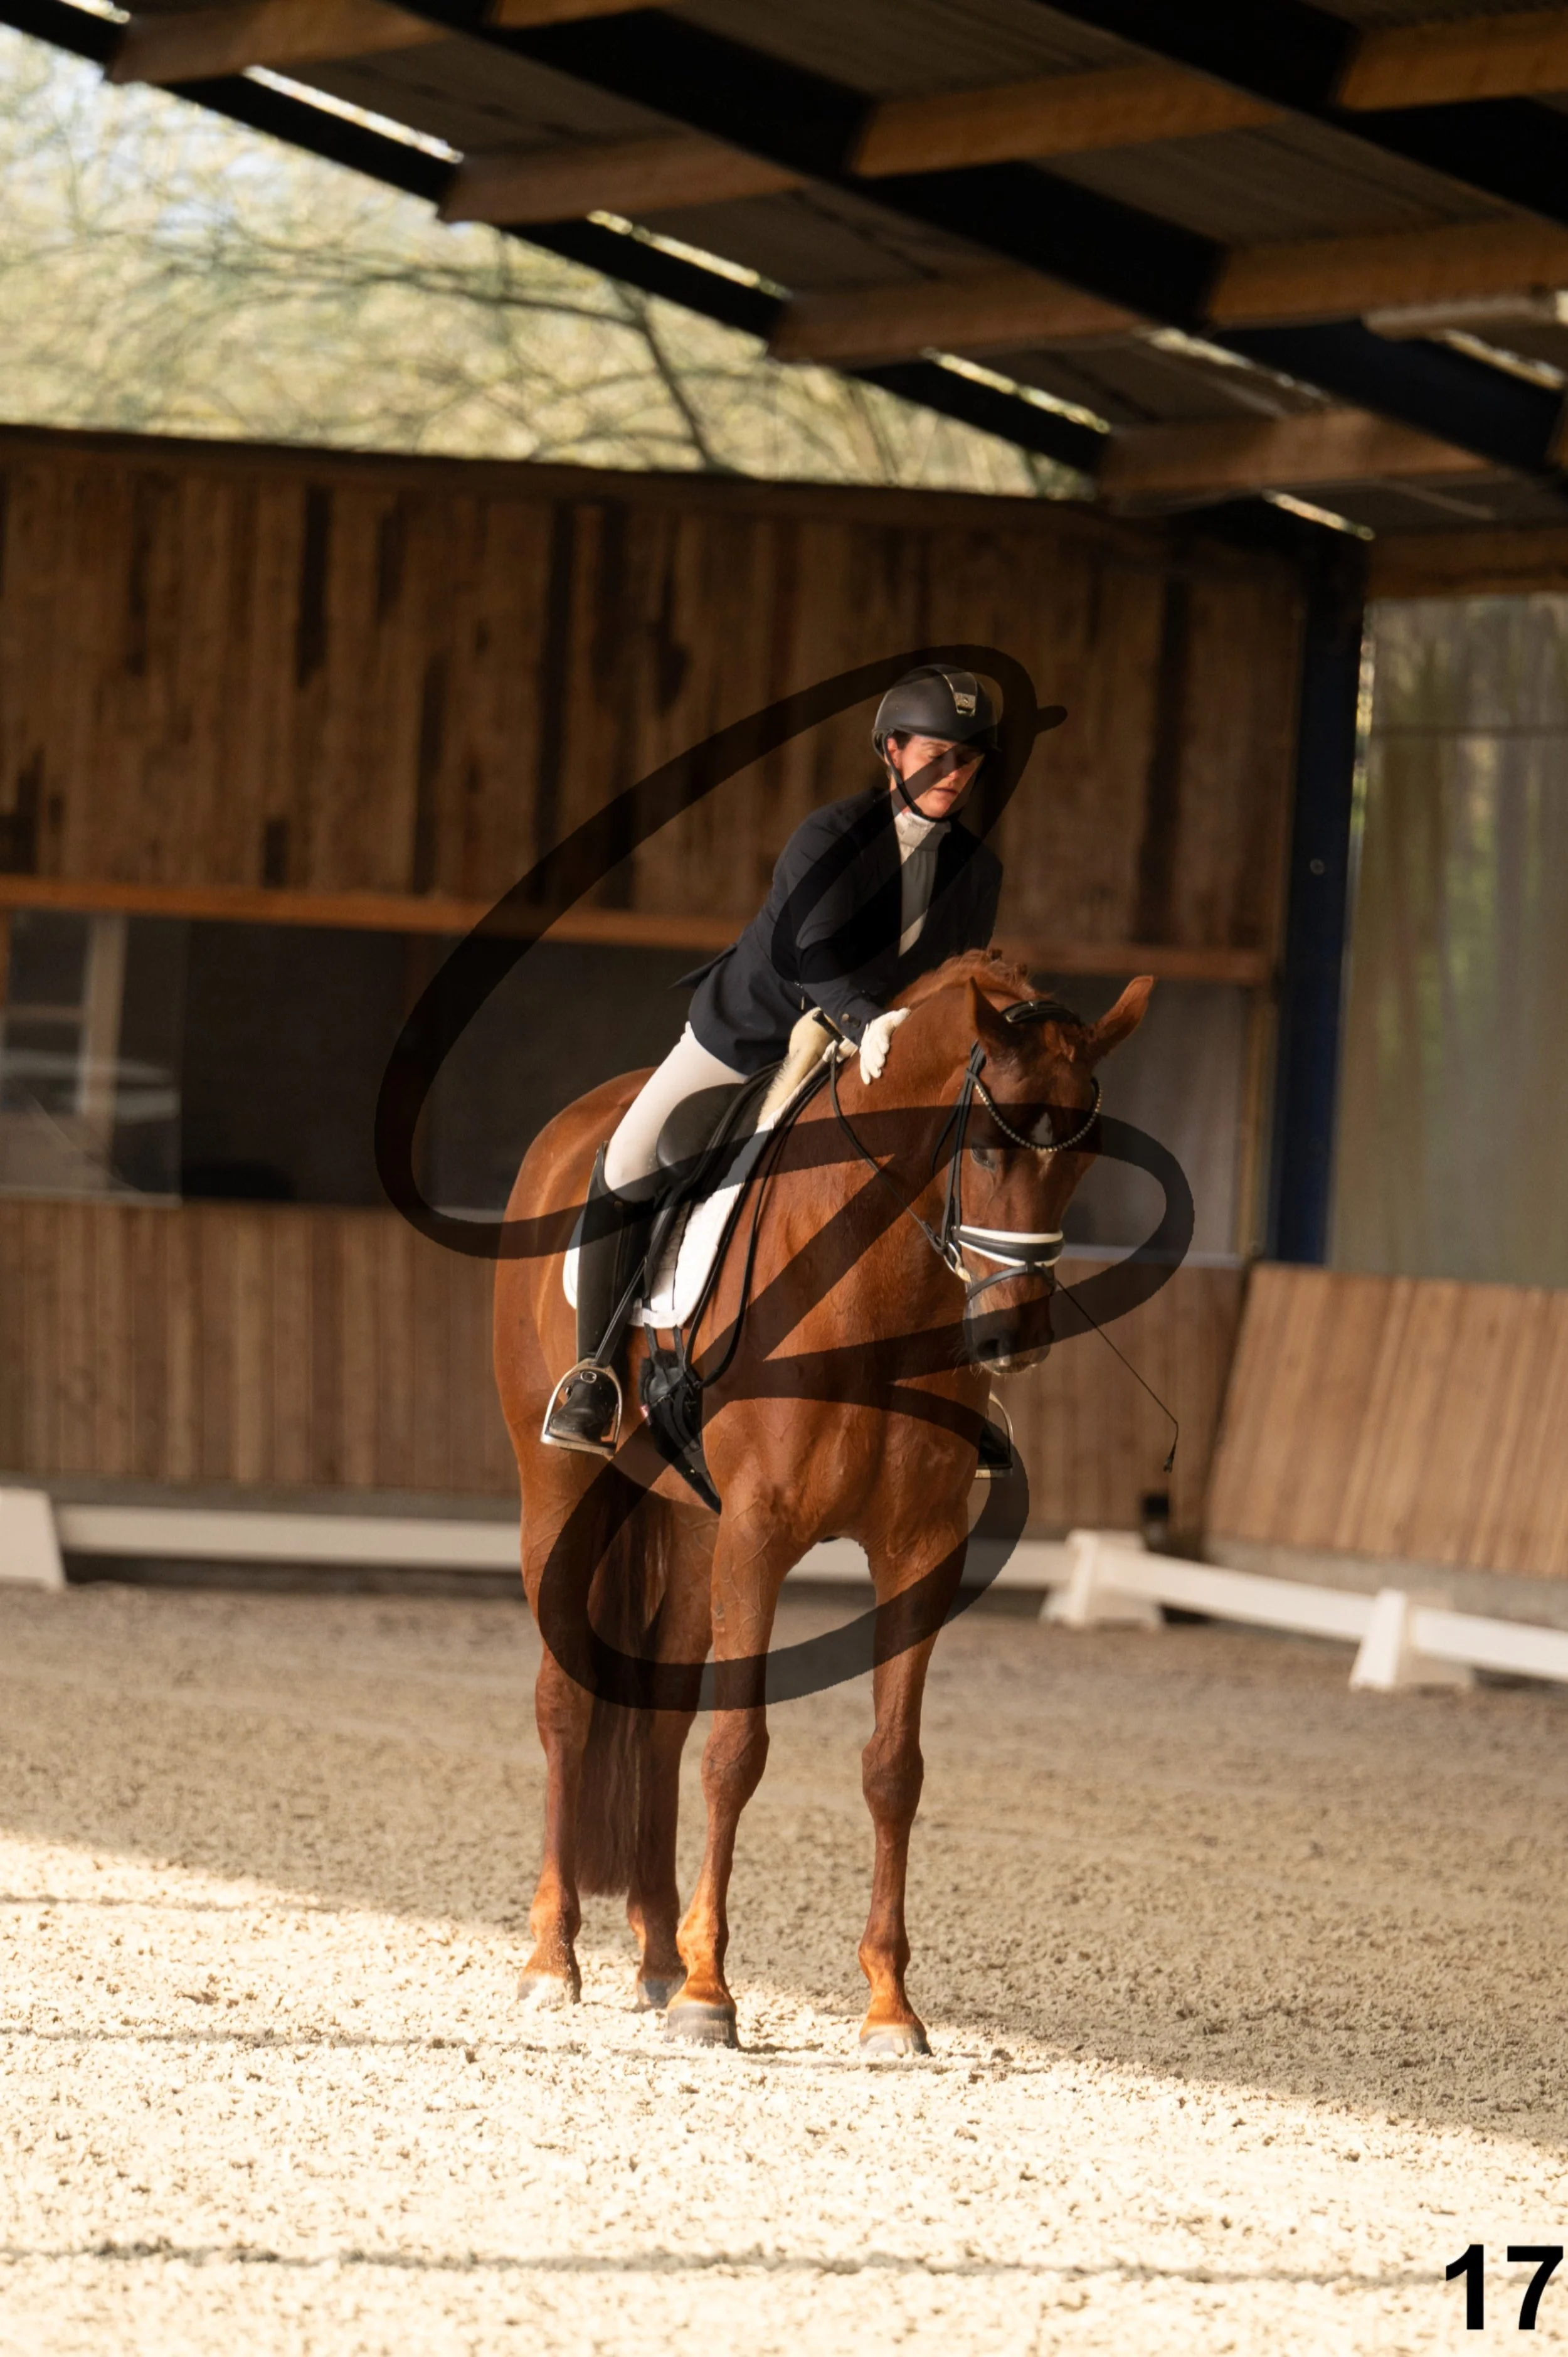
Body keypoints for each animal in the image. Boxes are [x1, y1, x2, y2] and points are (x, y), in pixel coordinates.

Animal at [493, 949, 1152, 2052]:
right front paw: (714, 1996)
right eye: (984, 1142)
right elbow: (737, 1750)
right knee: (568, 1702)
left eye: (1087, 1150)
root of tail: (569, 1125)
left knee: (659, 1718)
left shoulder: (921, 1548)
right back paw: (554, 1959)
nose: (1010, 1338)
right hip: (563, 1489)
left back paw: (657, 1954)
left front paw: (889, 2006)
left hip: (689, 1525)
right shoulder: (761, 1532)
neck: (879, 1289)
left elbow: (893, 1766)